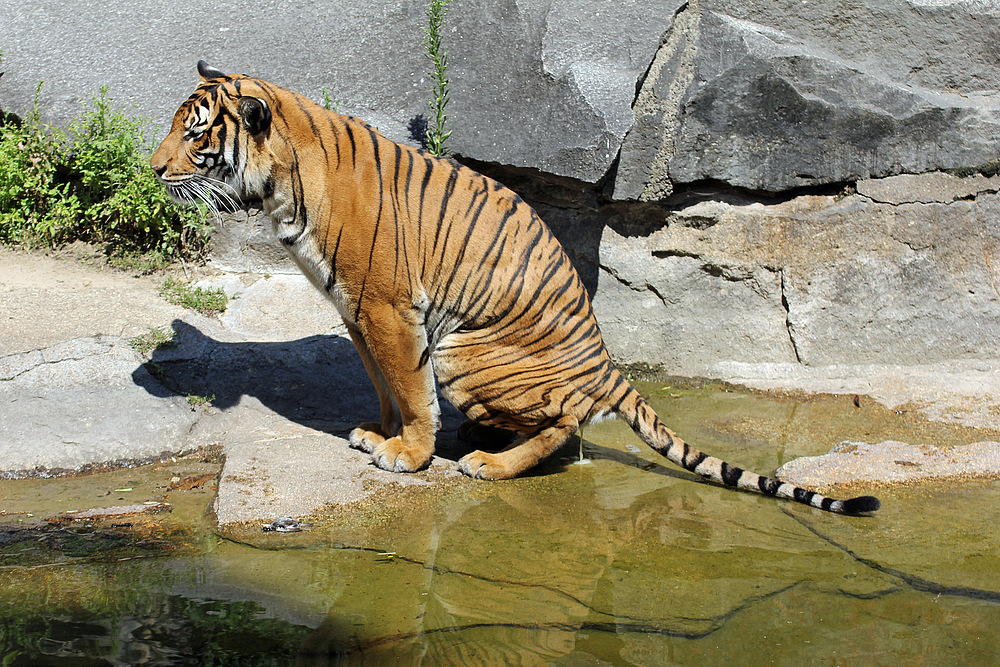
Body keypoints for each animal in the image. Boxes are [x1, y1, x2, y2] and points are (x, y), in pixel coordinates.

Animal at [152, 61, 880, 516]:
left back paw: (488, 463)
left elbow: (410, 389)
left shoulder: (387, 307)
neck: (280, 186)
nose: (153, 169)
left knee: (567, 419)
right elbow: (384, 384)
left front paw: (408, 454)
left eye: (195, 133)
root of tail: (605, 358)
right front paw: (377, 433)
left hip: (466, 353)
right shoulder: (356, 310)